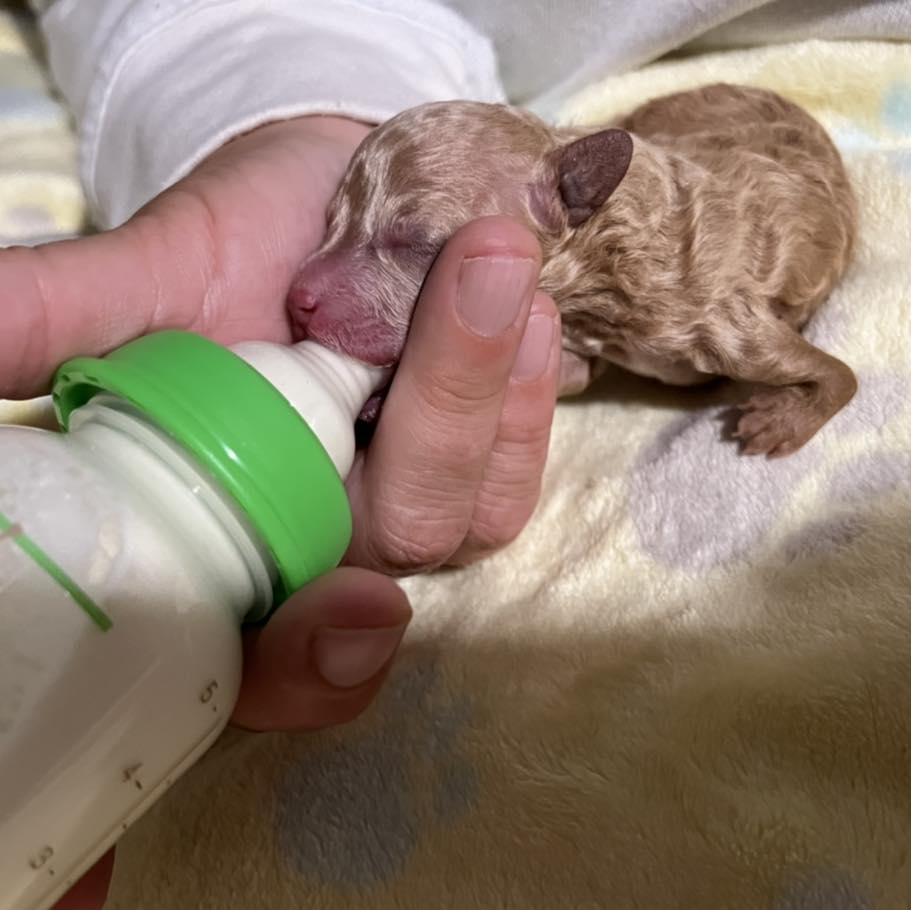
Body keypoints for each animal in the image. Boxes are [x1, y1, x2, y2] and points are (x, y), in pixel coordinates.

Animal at [290, 84, 856, 456]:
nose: (297, 299)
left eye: (415, 241)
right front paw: (381, 400)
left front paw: (784, 420)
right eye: (332, 221)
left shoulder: (720, 320)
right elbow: (572, 375)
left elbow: (836, 374)